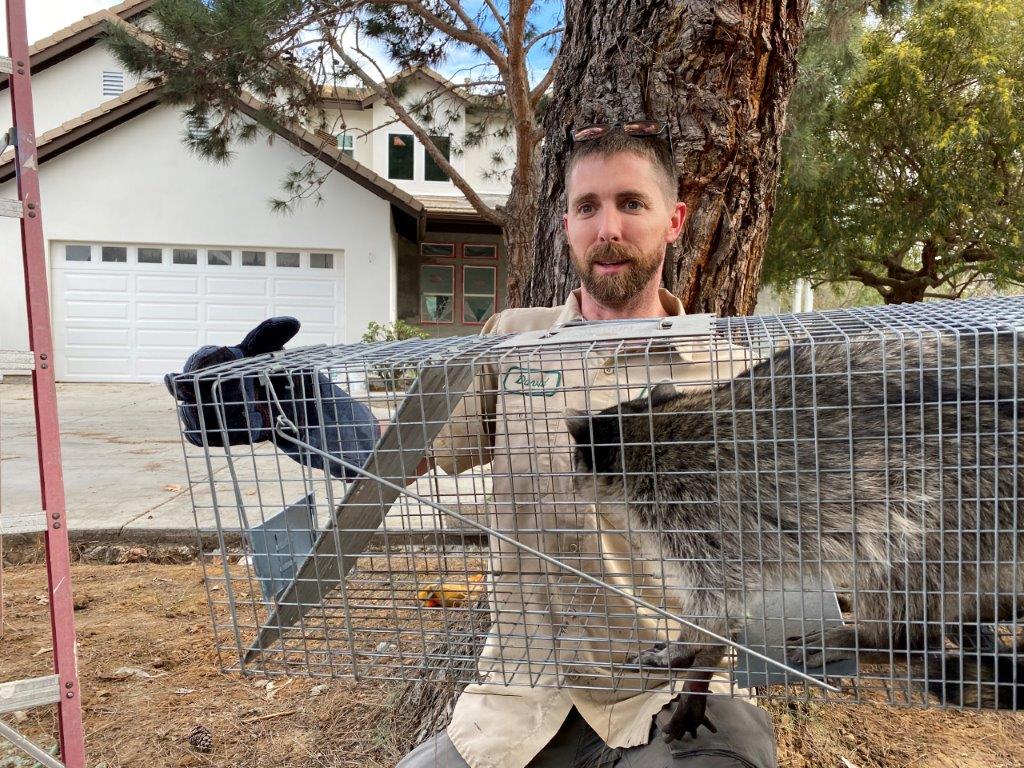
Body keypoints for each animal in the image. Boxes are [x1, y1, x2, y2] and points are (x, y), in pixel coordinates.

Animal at [565, 331, 1023, 742]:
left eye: (575, 457)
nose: (569, 480)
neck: (650, 433)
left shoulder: (696, 511)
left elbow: (719, 603)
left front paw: (687, 653)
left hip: (957, 501)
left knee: (894, 562)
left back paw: (878, 639)